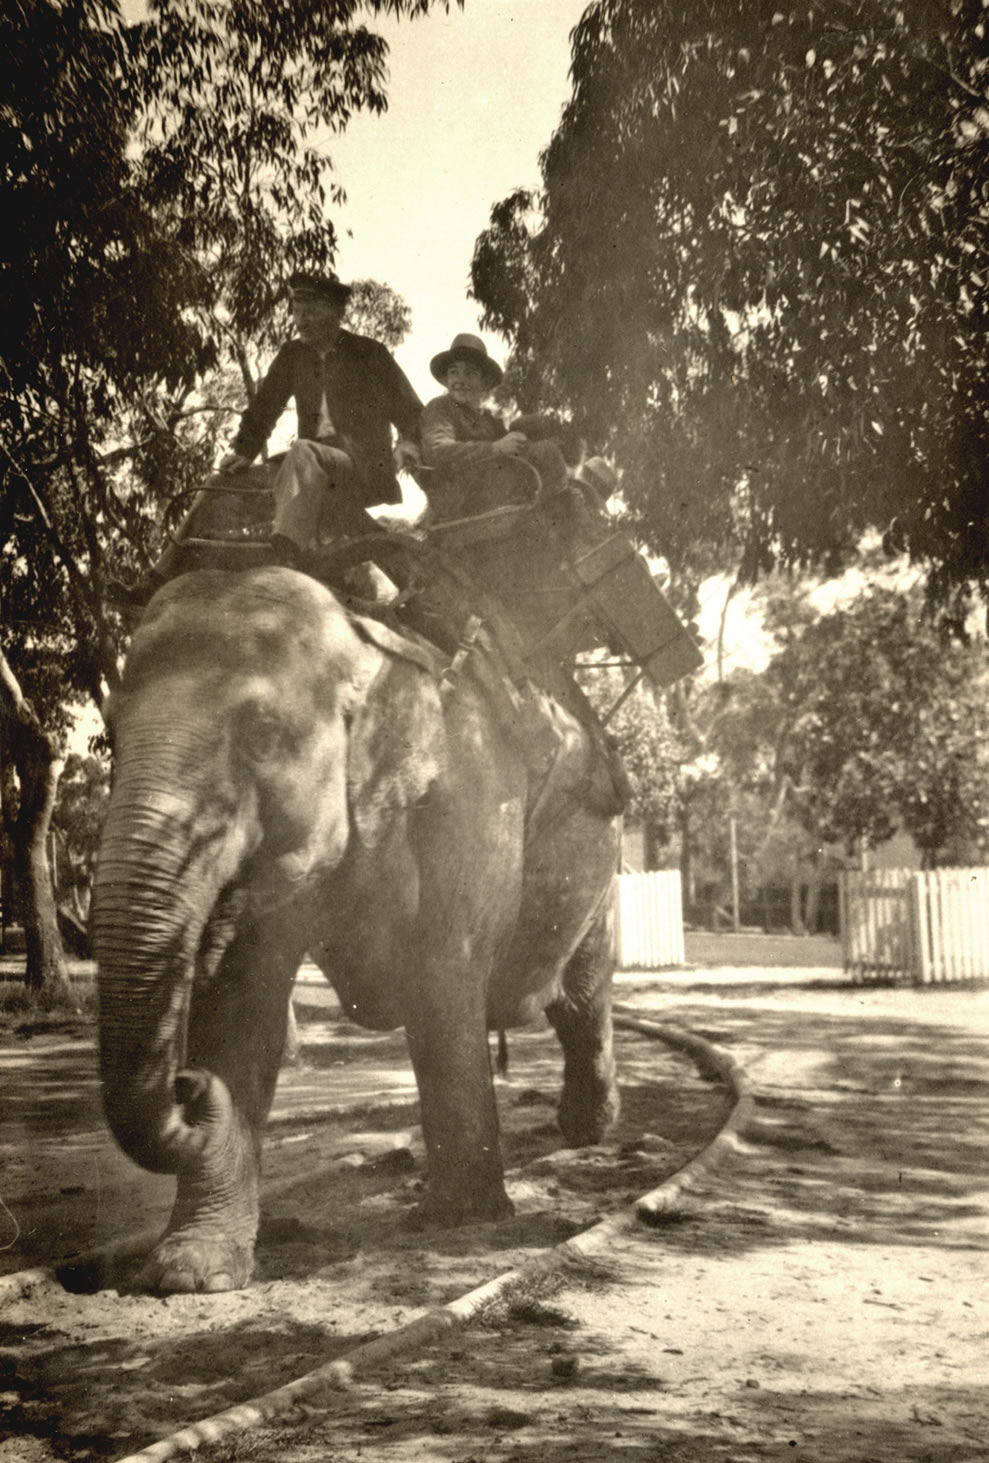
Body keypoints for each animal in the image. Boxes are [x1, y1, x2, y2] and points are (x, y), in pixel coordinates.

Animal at [92, 565, 622, 1293]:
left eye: (261, 734)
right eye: (111, 736)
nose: (186, 1083)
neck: (367, 640)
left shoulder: (467, 804)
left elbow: (441, 987)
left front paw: (456, 1220)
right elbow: (242, 1005)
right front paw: (189, 1272)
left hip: (603, 869)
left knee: (582, 999)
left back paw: (588, 1134)